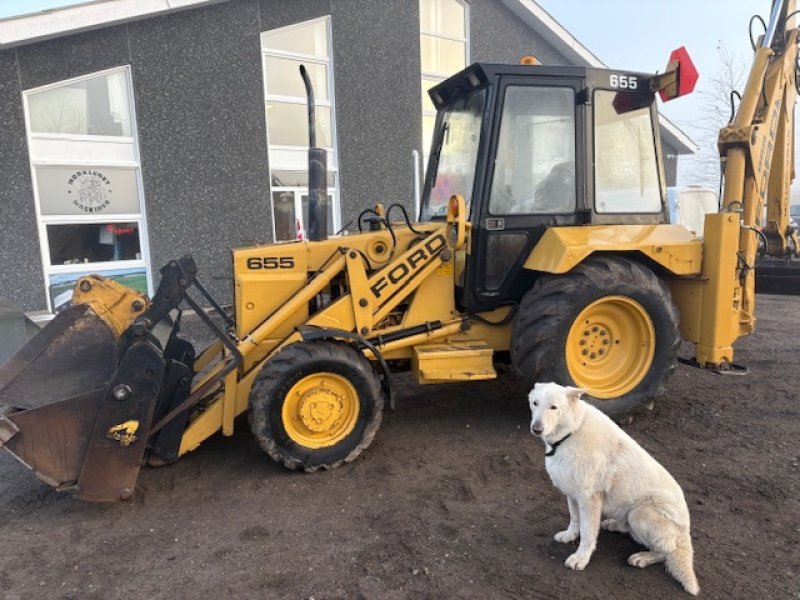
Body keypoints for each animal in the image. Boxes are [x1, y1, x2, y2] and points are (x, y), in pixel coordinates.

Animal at [532, 382, 700, 592]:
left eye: (554, 407)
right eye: (534, 403)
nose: (536, 429)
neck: (572, 431)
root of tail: (685, 533)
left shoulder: (589, 498)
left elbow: (587, 534)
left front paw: (581, 558)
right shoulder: (572, 493)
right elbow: (575, 519)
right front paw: (570, 535)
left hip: (641, 514)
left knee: (667, 551)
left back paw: (643, 557)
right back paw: (614, 525)